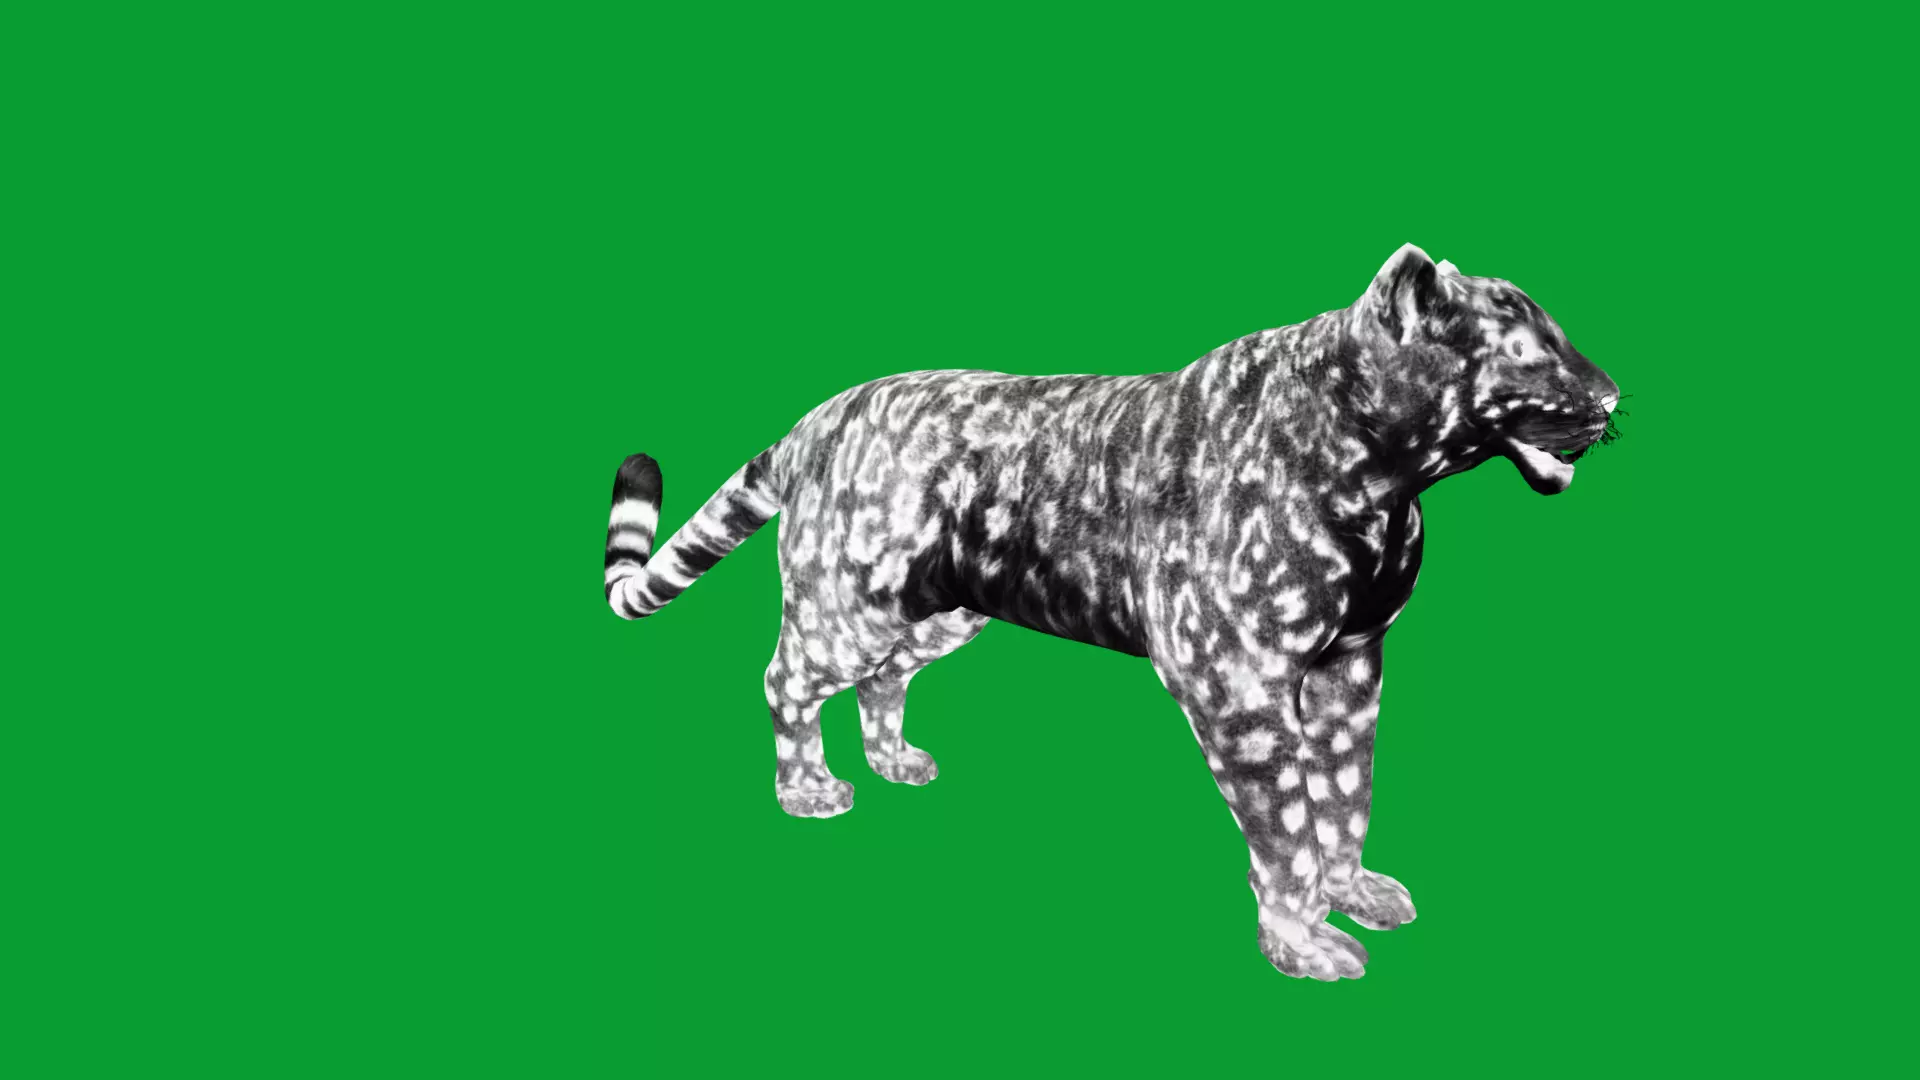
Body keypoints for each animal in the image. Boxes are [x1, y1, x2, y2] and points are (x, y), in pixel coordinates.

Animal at [603, 244, 1621, 980]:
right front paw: (1303, 944)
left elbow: (1345, 793)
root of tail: (817, 419)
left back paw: (896, 761)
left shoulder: (1351, 664)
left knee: (883, 683)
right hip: (848, 607)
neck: (1385, 475)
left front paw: (1357, 890)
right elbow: (1287, 822)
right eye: (1530, 348)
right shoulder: (1239, 684)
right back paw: (809, 790)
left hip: (935, 616)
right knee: (785, 679)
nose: (1614, 400)